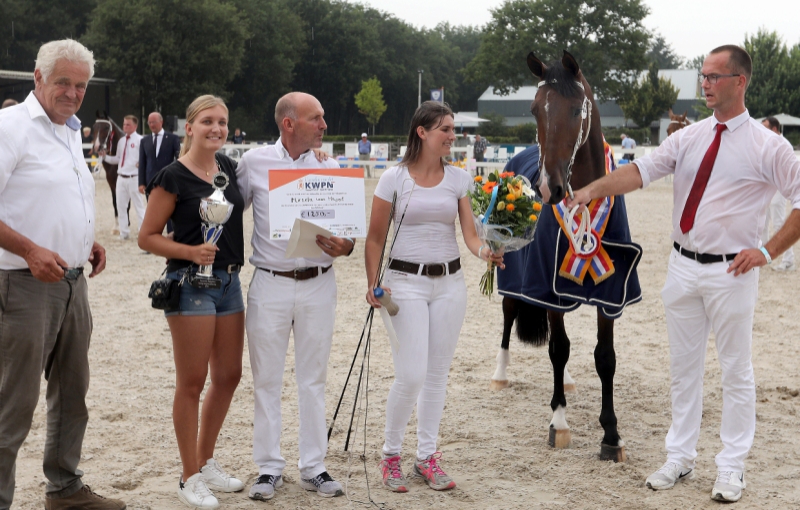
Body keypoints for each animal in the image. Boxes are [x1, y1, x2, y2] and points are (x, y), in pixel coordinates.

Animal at [498, 50, 642, 463]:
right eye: (534, 109)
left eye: (578, 109)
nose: (550, 187)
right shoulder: (546, 288)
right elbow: (558, 349)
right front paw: (558, 422)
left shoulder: (611, 292)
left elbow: (605, 357)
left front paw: (611, 435)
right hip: (512, 274)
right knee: (509, 314)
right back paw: (501, 374)